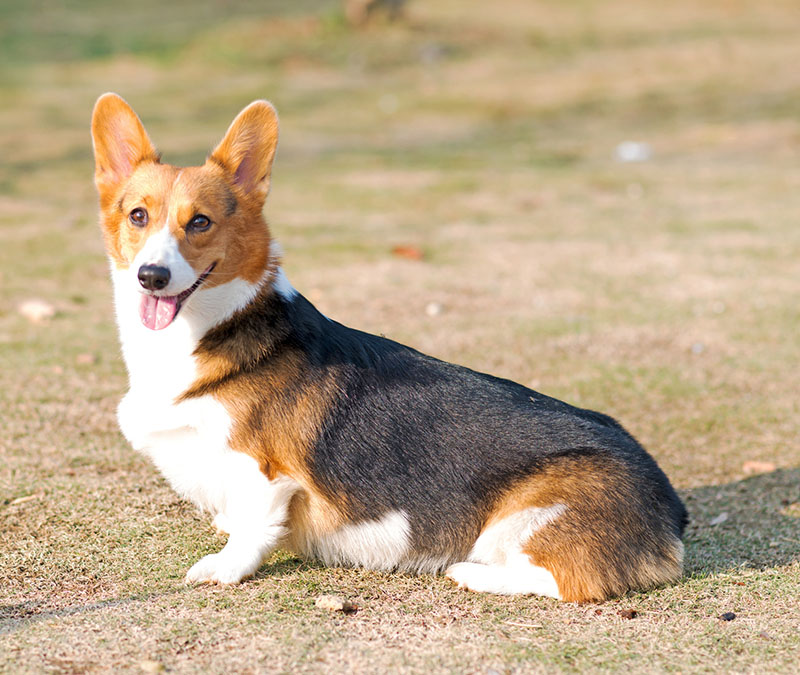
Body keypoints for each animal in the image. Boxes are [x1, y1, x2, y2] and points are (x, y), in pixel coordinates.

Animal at [90, 93, 684, 604]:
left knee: (568, 580)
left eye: (200, 222)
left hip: (531, 516)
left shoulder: (263, 471)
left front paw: (224, 567)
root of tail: (671, 512)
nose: (151, 276)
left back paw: (471, 571)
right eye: (138, 215)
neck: (208, 330)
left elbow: (253, 527)